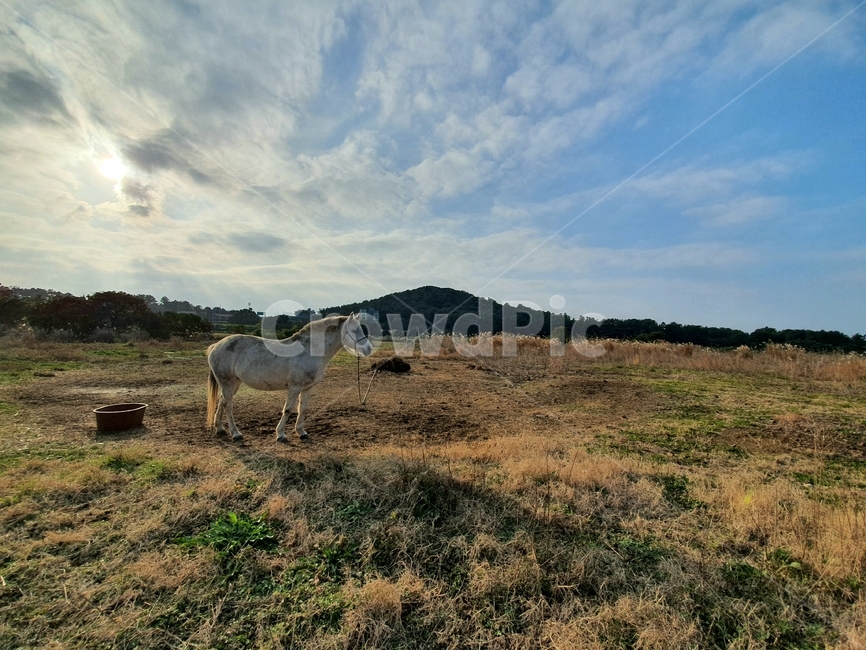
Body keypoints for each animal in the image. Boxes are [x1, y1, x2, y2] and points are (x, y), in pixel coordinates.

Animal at [206, 314, 373, 442]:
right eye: (354, 330)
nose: (368, 349)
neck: (308, 350)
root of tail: (216, 346)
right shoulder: (295, 387)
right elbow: (288, 409)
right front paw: (280, 434)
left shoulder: (308, 388)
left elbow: (303, 409)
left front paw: (301, 432)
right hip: (227, 383)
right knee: (228, 405)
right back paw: (236, 434)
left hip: (234, 383)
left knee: (221, 401)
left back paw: (220, 428)